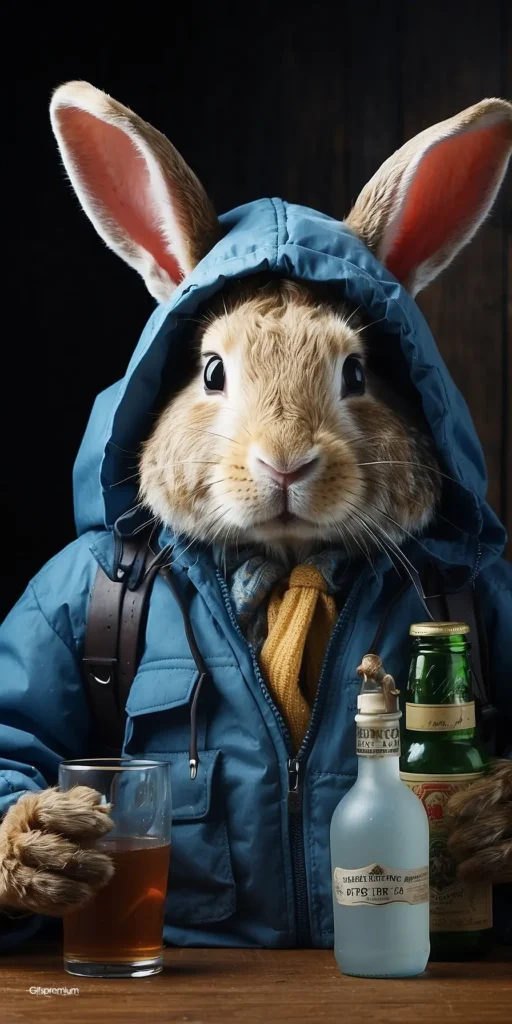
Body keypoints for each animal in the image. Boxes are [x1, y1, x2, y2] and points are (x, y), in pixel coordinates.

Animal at [0, 82, 511, 935]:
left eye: (357, 372)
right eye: (211, 371)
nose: (285, 461)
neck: (287, 559)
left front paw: (490, 825)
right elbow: (20, 735)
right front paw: (43, 848)